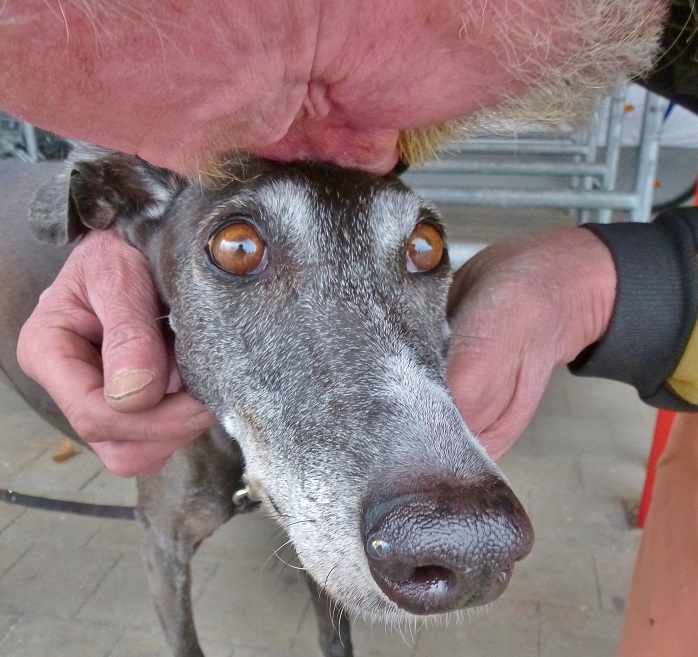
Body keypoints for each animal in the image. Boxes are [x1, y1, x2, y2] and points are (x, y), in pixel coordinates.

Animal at [0, 145, 533, 657]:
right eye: (237, 248)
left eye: (426, 246)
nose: (473, 545)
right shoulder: (161, 545)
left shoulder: (310, 539)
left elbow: (335, 637)